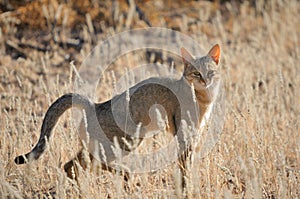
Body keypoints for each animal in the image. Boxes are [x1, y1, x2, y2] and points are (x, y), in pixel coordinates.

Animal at [14, 43, 220, 187]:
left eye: (210, 72)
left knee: (71, 165)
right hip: (125, 142)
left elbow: (186, 165)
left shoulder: (192, 136)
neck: (203, 99)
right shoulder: (184, 136)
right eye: (196, 73)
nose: (205, 80)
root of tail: (94, 105)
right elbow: (184, 166)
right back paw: (126, 174)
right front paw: (187, 187)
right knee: (88, 164)